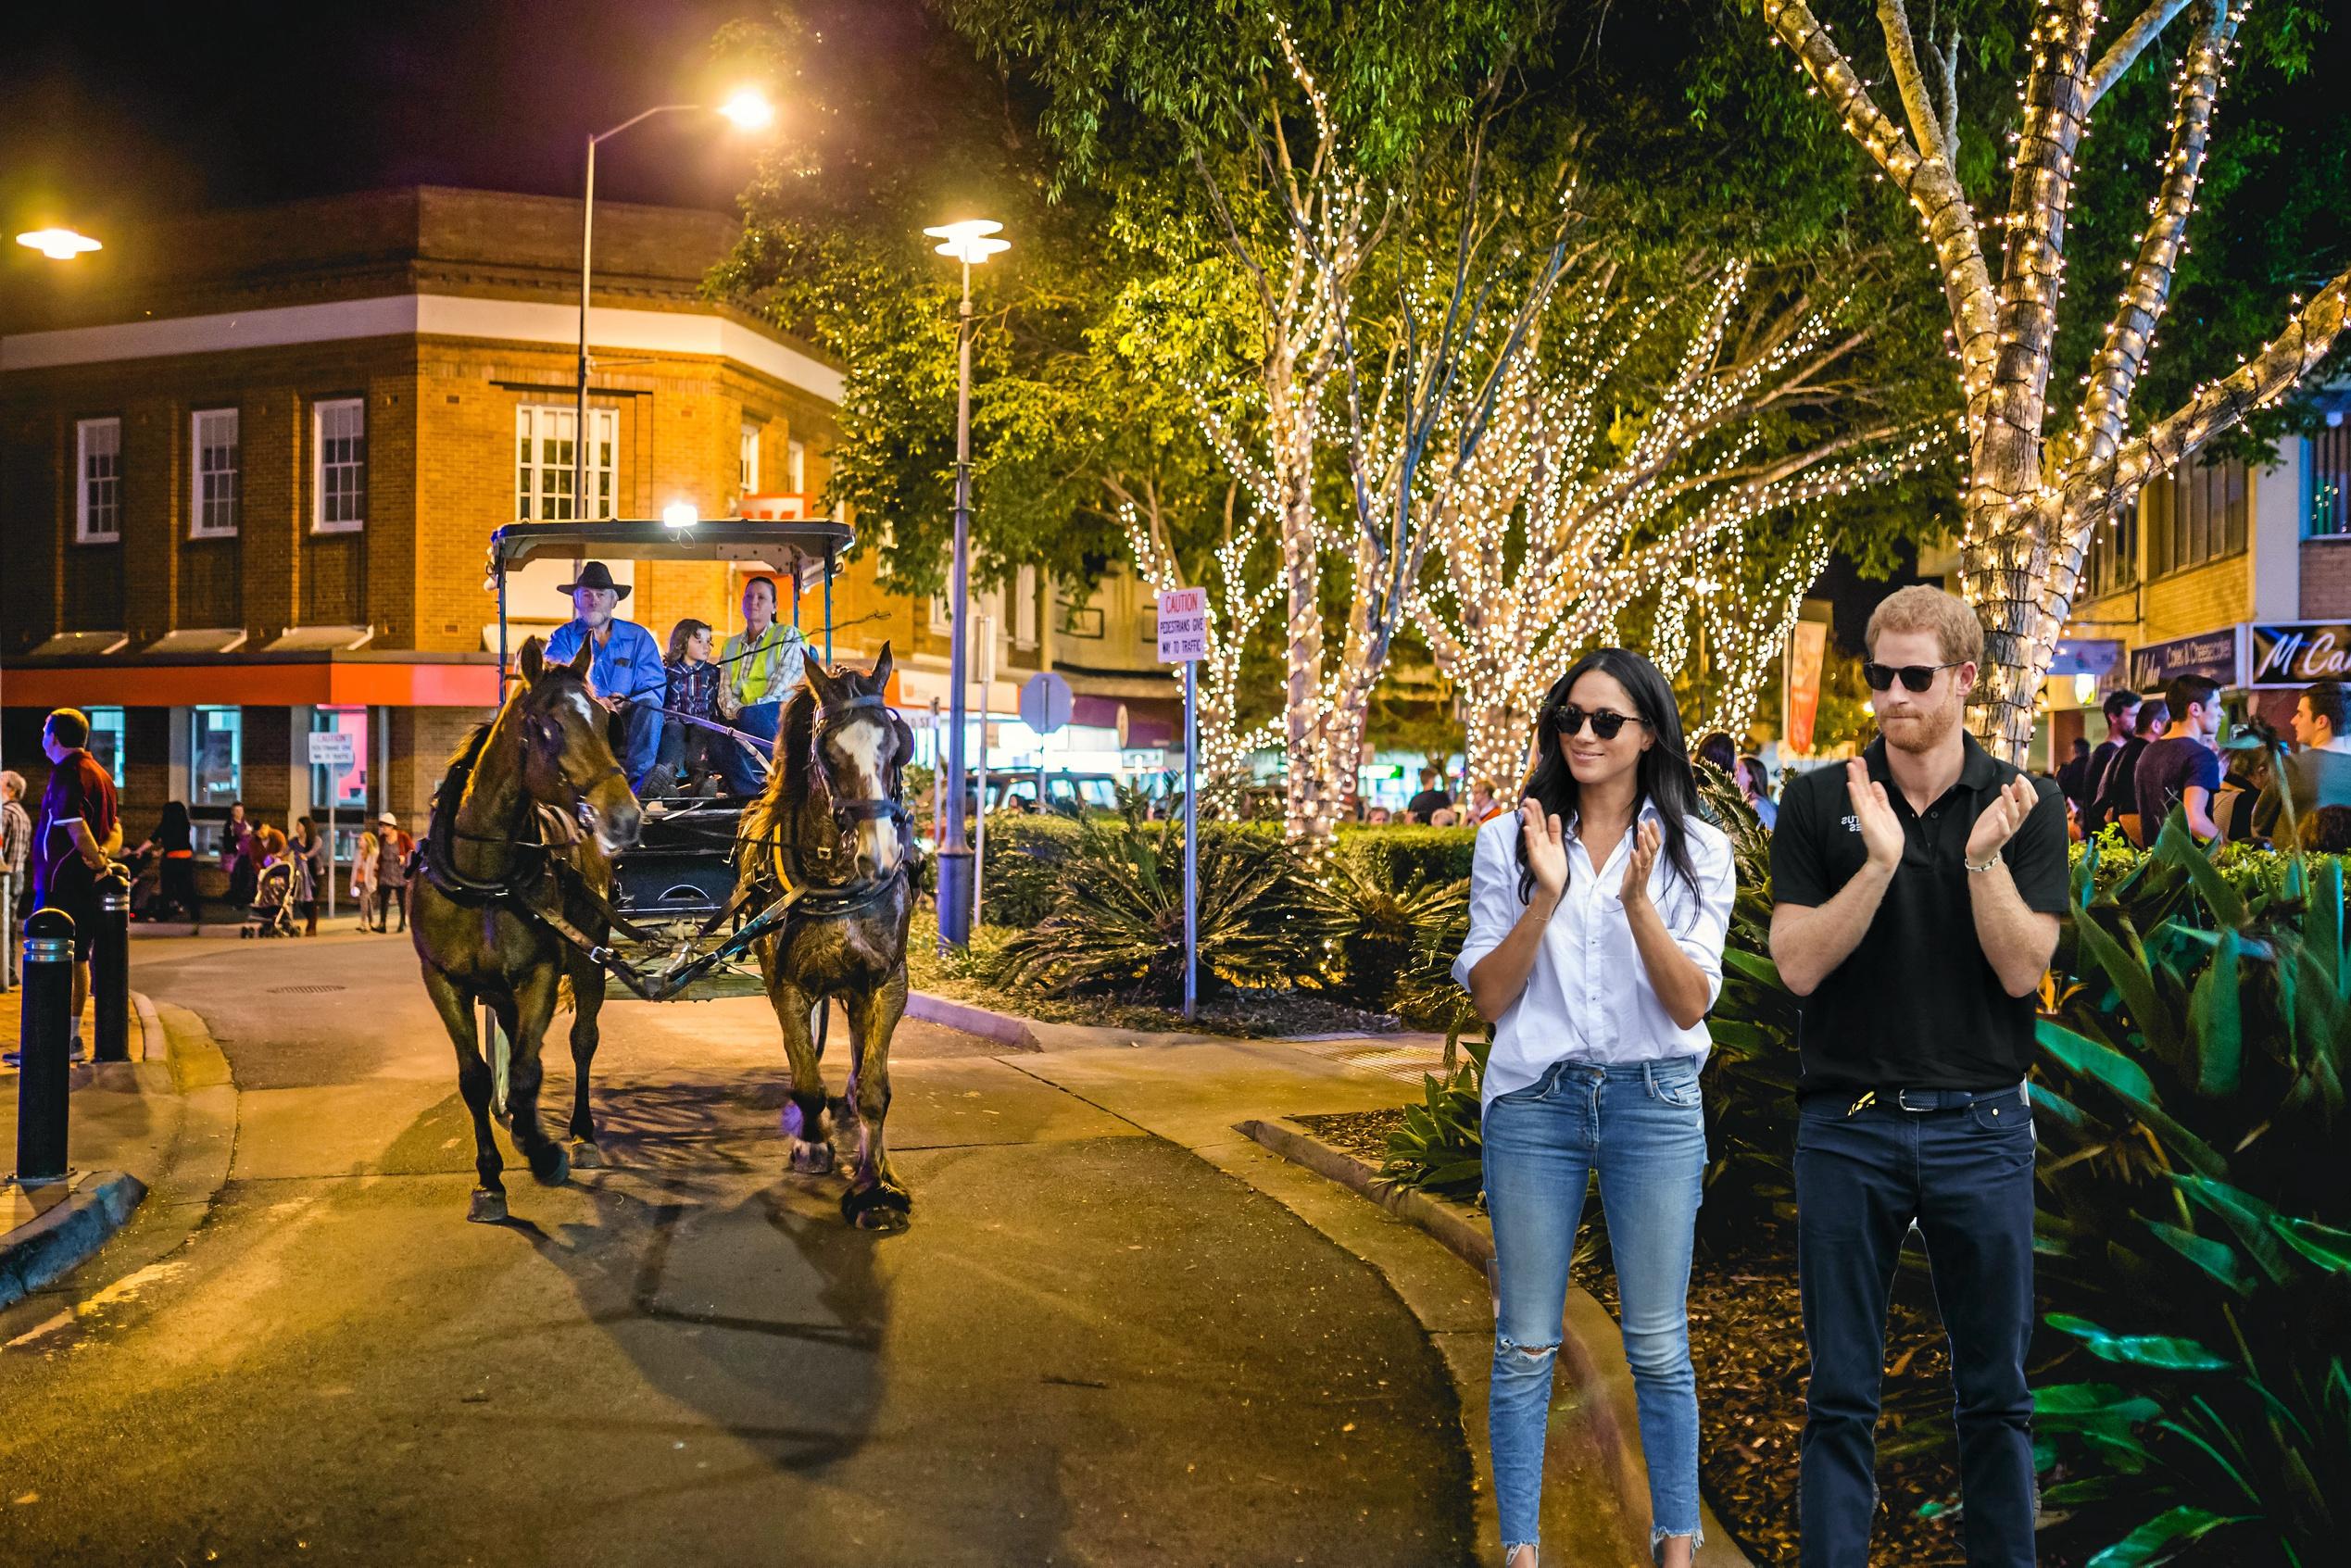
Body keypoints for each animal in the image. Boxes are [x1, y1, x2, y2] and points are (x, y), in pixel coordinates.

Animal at [409, 639, 639, 1222]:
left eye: (606, 720)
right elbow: (476, 1078)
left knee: (582, 1041)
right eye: (549, 727)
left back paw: (581, 1134)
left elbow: (531, 1069)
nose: (625, 818)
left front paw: (545, 1152)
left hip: (588, 955)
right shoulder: (443, 981)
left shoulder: (540, 972)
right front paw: (490, 1178)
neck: (485, 876)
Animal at [733, 644, 916, 1232]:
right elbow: (807, 1081)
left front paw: (876, 1185)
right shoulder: (785, 985)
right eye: (826, 753)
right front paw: (813, 1143)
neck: (837, 881)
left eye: (898, 747)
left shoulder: (887, 983)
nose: (880, 855)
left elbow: (876, 1089)